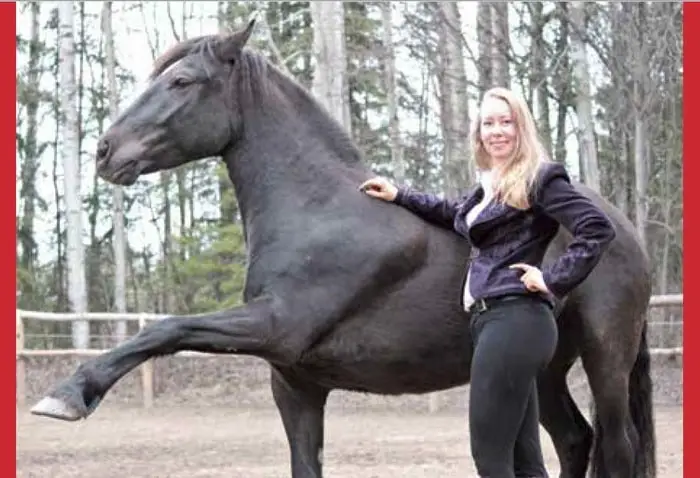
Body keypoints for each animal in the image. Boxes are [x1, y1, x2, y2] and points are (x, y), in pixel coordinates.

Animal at [30, 21, 655, 478]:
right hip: (545, 369)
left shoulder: (276, 325)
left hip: (605, 354)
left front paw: (68, 395)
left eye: (183, 81)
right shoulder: (296, 385)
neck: (316, 211)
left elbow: (165, 328)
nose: (106, 152)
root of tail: (624, 230)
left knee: (617, 445)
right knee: (574, 440)